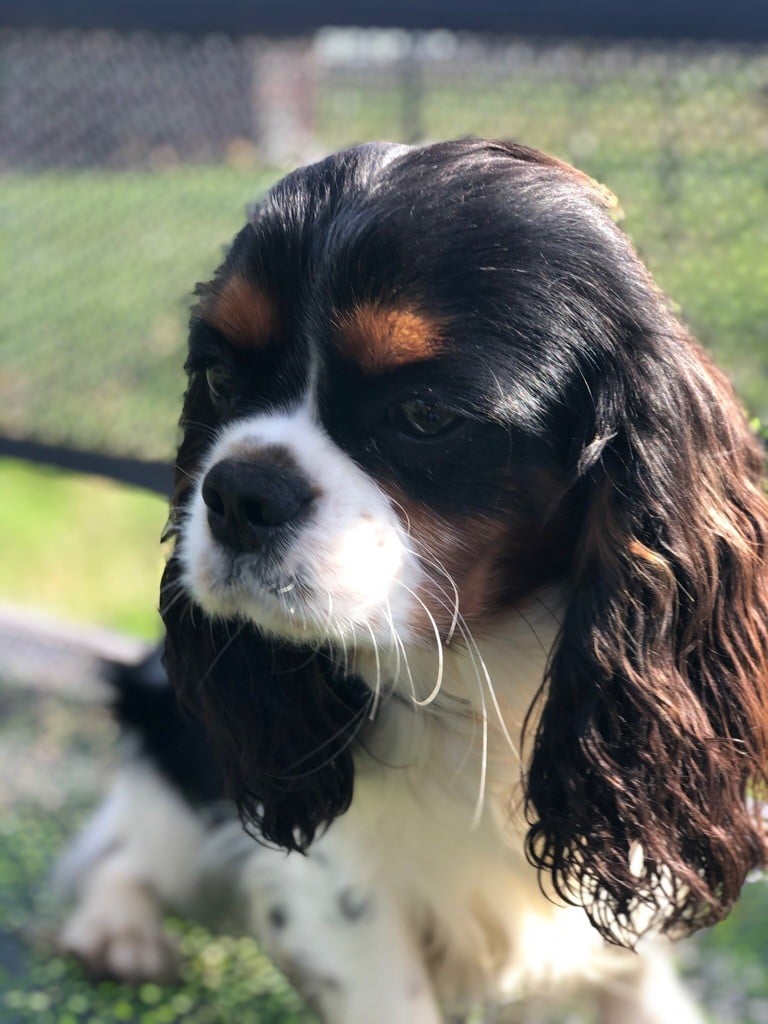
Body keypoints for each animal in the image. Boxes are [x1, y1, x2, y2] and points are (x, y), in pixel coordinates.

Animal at [60, 140, 768, 1022]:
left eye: (426, 415)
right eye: (219, 381)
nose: (236, 492)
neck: (476, 660)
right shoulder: (341, 880)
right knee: (128, 844)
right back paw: (117, 929)